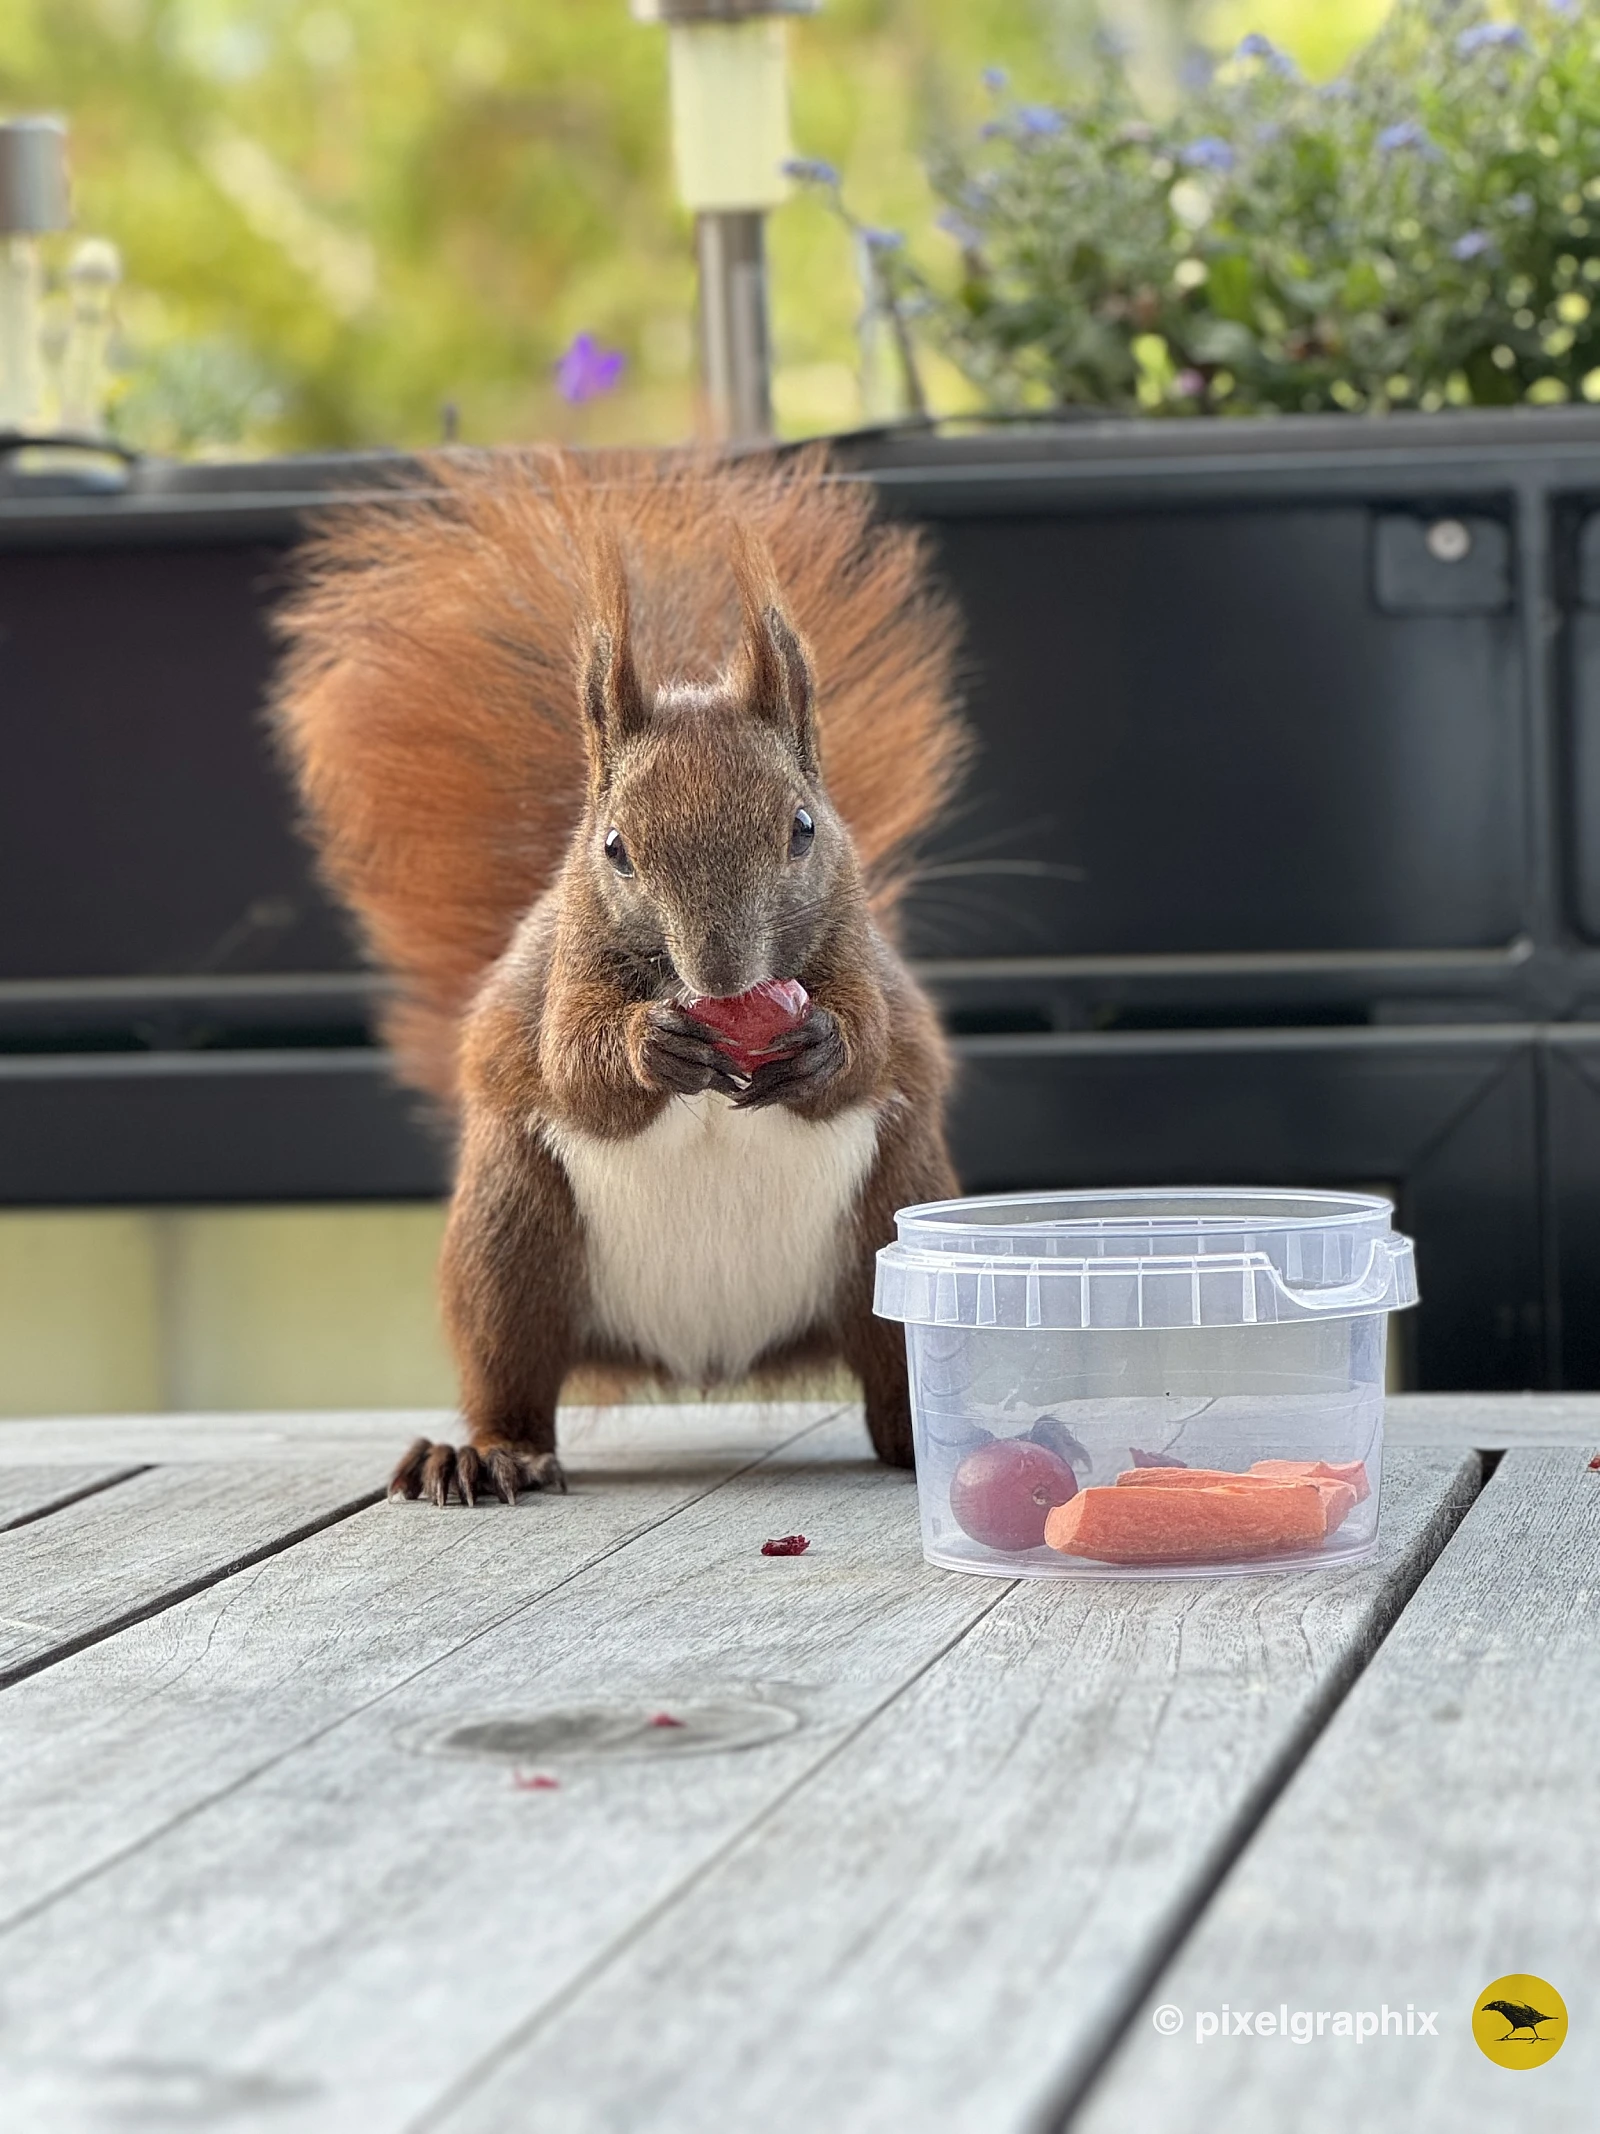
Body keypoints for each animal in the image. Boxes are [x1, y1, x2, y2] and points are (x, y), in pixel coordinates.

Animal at [272, 446, 968, 1505]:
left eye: (804, 827)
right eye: (615, 849)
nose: (720, 974)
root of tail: (705, 1356)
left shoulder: (865, 960)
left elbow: (877, 1039)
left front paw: (820, 1044)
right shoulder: (564, 973)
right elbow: (574, 1065)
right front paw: (652, 1046)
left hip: (888, 1226)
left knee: (894, 1379)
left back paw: (917, 1446)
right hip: (509, 1241)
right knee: (511, 1375)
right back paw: (483, 1454)